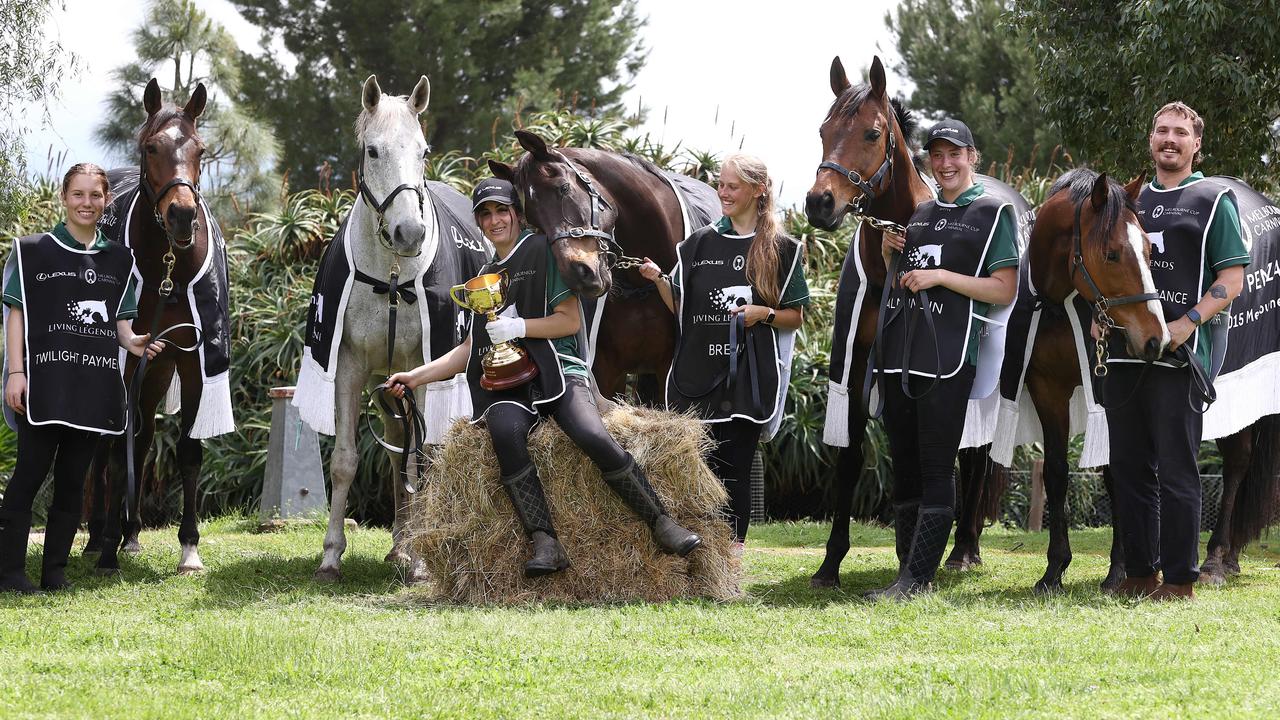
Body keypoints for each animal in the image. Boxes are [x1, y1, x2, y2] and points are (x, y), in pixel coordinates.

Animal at [87, 77, 232, 571]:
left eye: (200, 149)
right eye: (151, 147)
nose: (182, 215)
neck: (169, 268)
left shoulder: (192, 360)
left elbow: (188, 450)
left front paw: (190, 548)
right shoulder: (127, 361)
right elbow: (117, 453)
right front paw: (105, 550)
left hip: (158, 368)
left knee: (146, 438)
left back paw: (129, 534)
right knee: (112, 446)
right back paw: (101, 535)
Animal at [483, 129, 721, 397]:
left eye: (563, 188)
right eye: (532, 219)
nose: (580, 274)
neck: (641, 289)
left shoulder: (666, 371)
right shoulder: (606, 371)